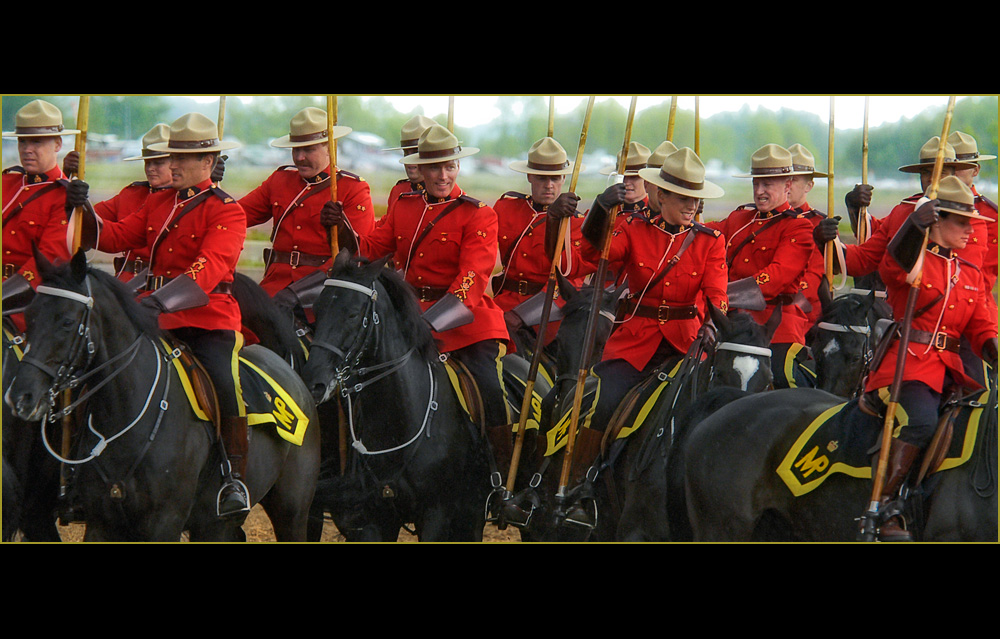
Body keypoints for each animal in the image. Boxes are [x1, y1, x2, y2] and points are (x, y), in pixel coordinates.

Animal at [3, 252, 320, 544]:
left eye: (67, 322)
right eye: (30, 316)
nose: (21, 397)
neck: (126, 412)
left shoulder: (163, 523)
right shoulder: (101, 524)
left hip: (291, 512)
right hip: (215, 525)